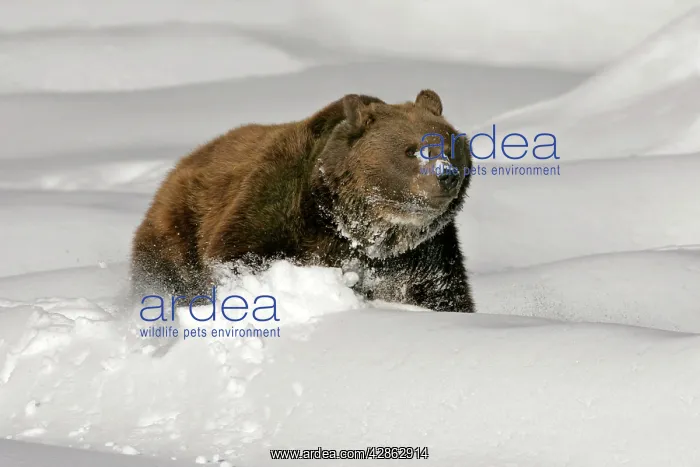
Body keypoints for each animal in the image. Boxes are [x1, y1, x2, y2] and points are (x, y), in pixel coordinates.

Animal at [130, 89, 475, 313]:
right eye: (411, 149)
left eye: (449, 146)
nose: (446, 175)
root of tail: (180, 164)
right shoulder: (276, 207)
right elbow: (238, 255)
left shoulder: (421, 256)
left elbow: (442, 295)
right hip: (179, 228)